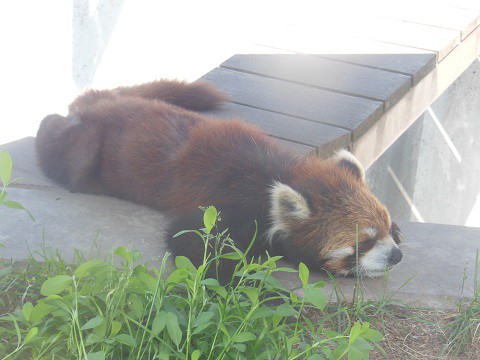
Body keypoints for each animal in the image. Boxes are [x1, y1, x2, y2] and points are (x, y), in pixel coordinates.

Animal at [35, 79, 404, 282]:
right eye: (364, 242)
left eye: (385, 229)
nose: (396, 257)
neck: (280, 173)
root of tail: (102, 102)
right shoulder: (227, 202)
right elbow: (195, 240)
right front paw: (252, 287)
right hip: (84, 155)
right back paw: (47, 119)